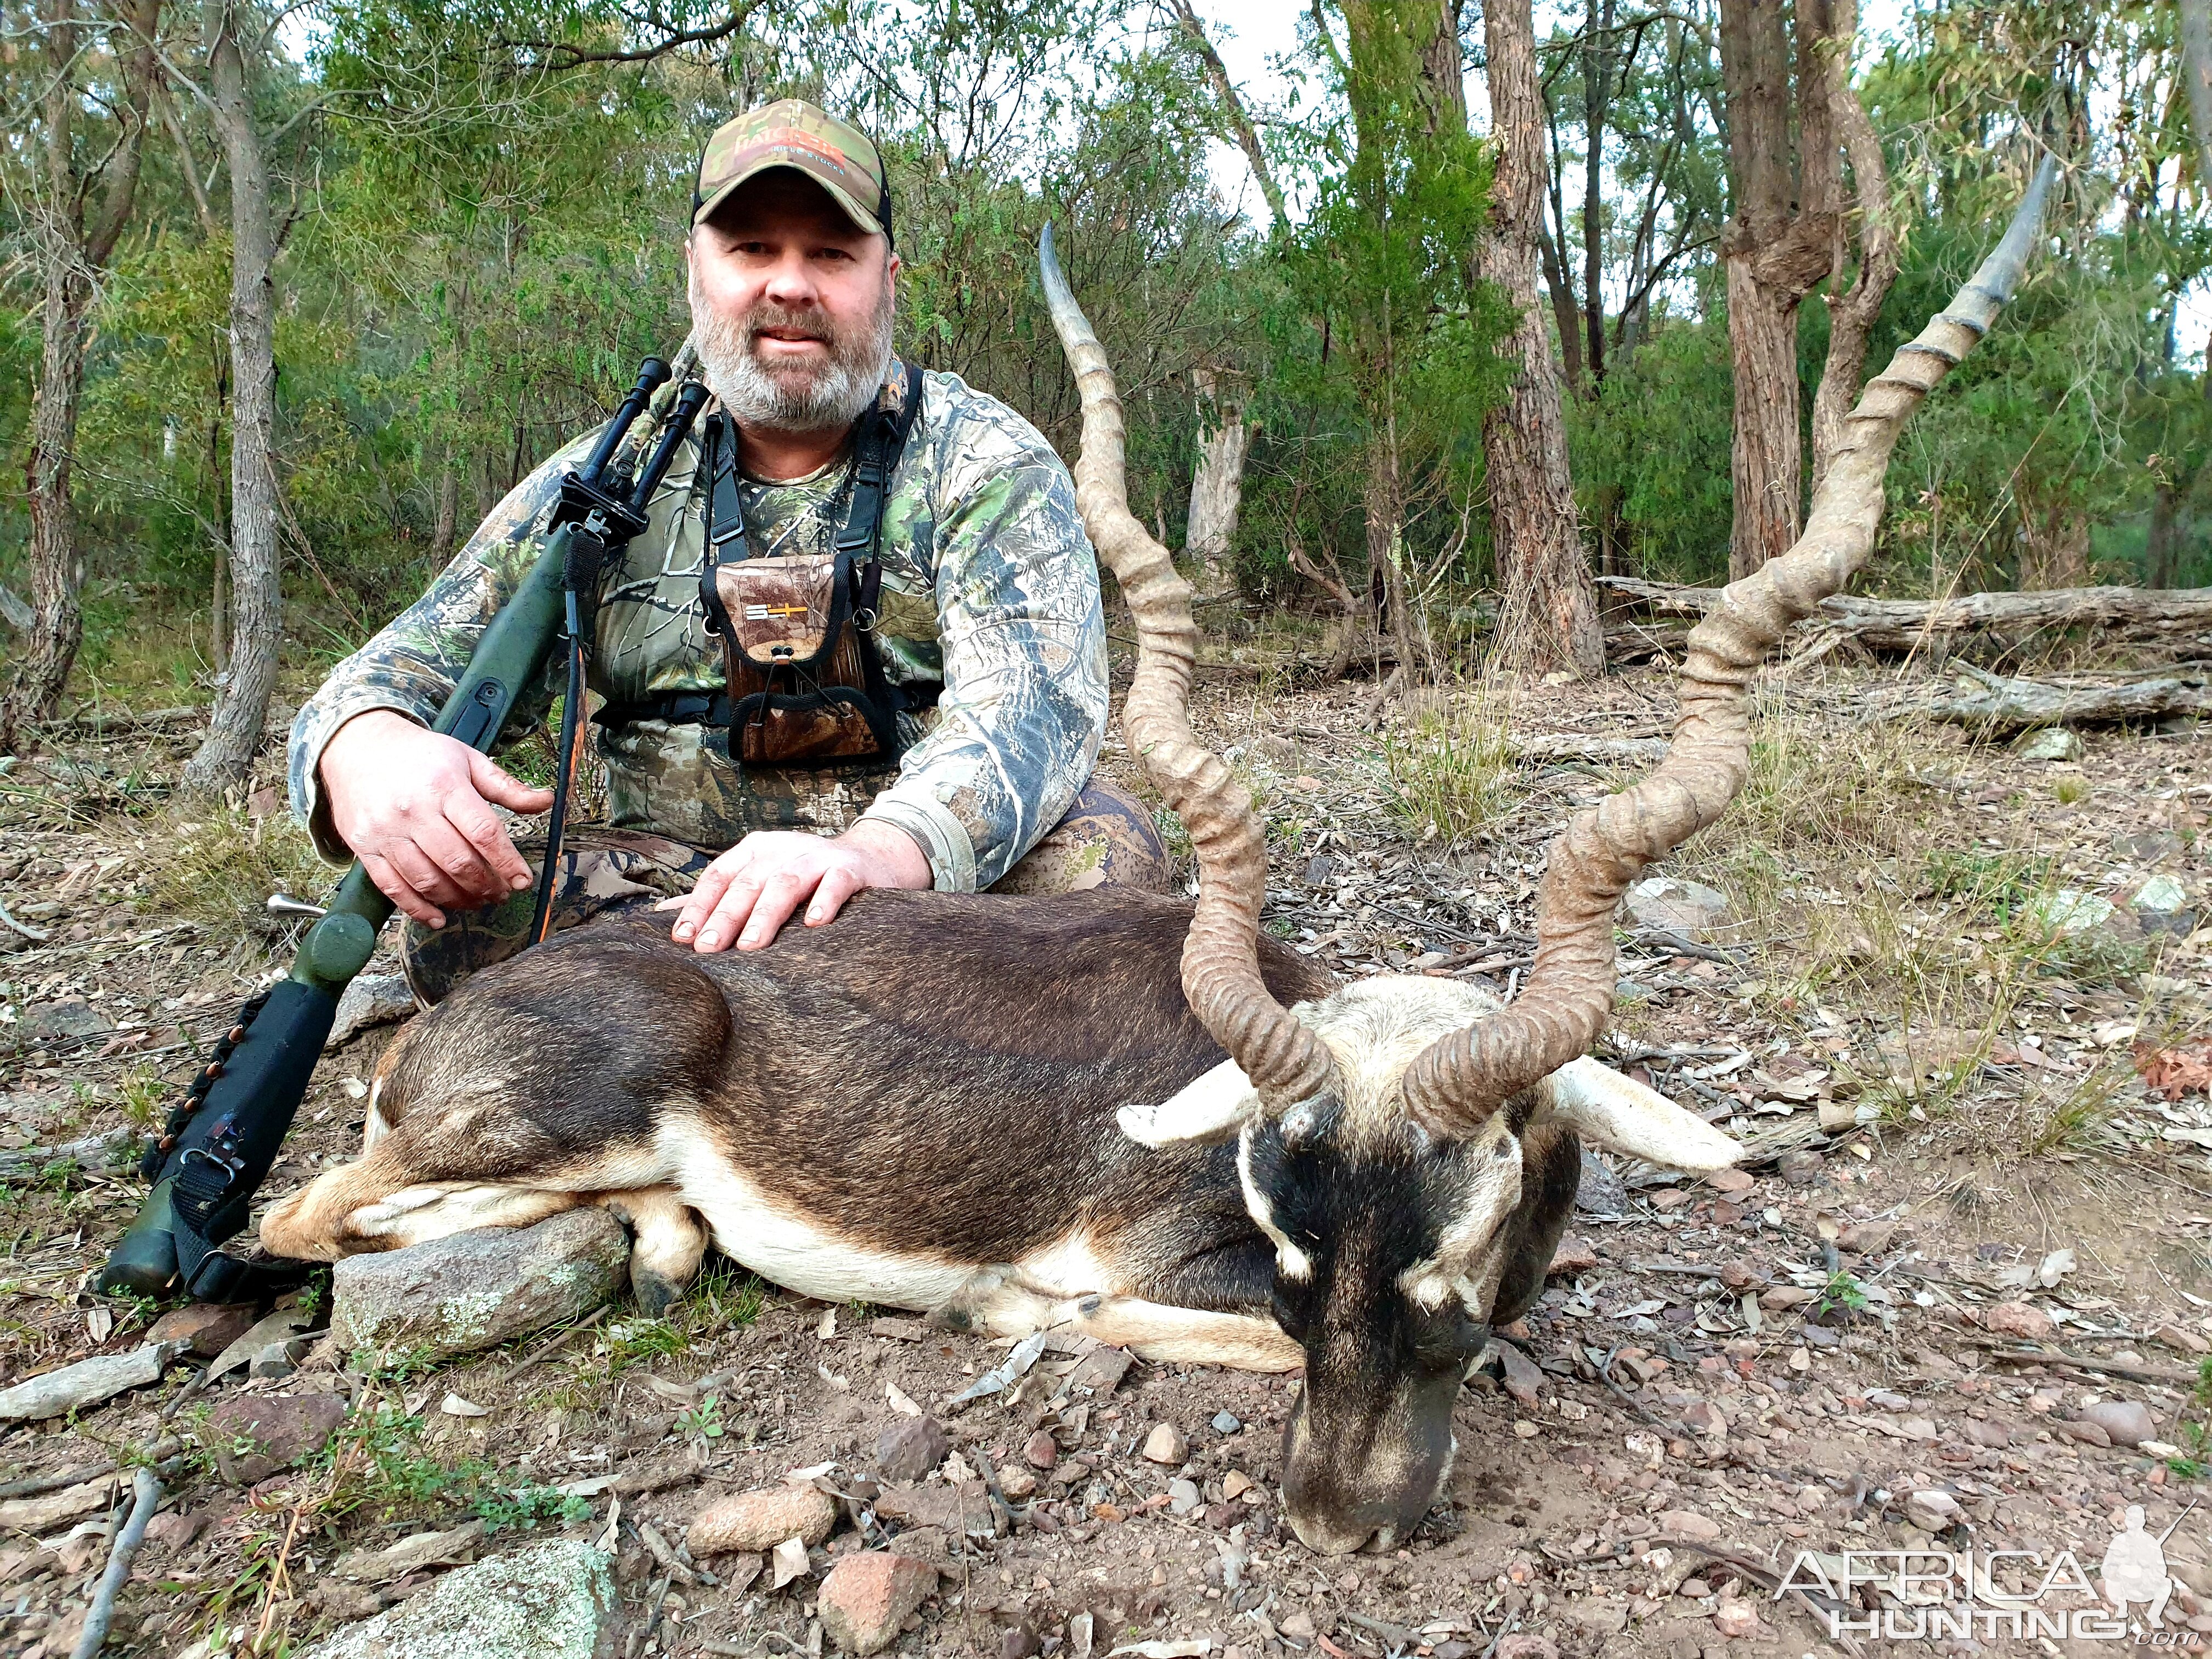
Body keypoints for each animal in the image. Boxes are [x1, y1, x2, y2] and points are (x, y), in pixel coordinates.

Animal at [267, 176, 2061, 1557]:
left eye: (1450, 1283)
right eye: (1294, 1263)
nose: (1338, 1525)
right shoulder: (1153, 1264)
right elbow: (1096, 1312)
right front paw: (1013, 1319)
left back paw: (660, 1244)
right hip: (557, 1106)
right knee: (315, 1222)